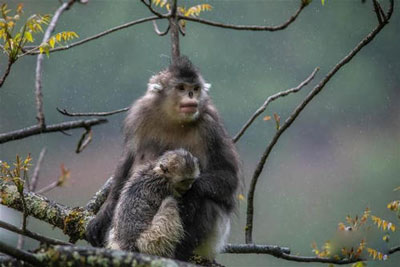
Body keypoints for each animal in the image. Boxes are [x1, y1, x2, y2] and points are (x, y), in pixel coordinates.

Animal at [85, 57, 239, 262]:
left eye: (195, 88)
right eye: (181, 87)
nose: (191, 95)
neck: (176, 120)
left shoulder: (210, 126)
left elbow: (228, 178)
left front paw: (193, 191)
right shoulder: (139, 114)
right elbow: (128, 160)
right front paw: (102, 215)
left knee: (206, 201)